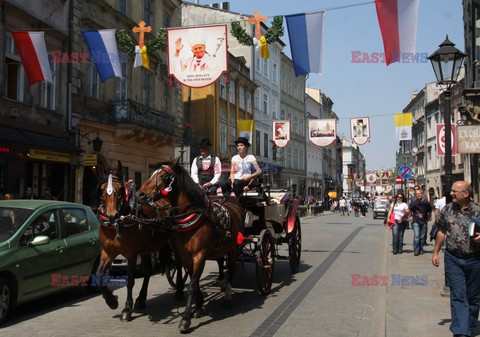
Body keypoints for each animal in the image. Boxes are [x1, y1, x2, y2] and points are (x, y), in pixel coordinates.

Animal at [94, 160, 177, 320]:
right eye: (101, 190)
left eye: (121, 189)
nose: (112, 215)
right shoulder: (108, 252)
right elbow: (99, 275)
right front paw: (111, 301)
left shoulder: (131, 254)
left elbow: (130, 280)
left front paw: (127, 308)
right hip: (146, 249)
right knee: (148, 271)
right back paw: (141, 299)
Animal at [138, 159, 244, 332]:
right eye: (151, 173)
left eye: (165, 176)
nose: (140, 194)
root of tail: (232, 200)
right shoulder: (185, 255)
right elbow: (194, 281)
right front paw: (199, 306)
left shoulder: (199, 255)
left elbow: (192, 286)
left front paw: (186, 319)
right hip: (220, 247)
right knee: (221, 262)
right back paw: (221, 283)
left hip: (234, 249)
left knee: (232, 269)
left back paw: (227, 295)